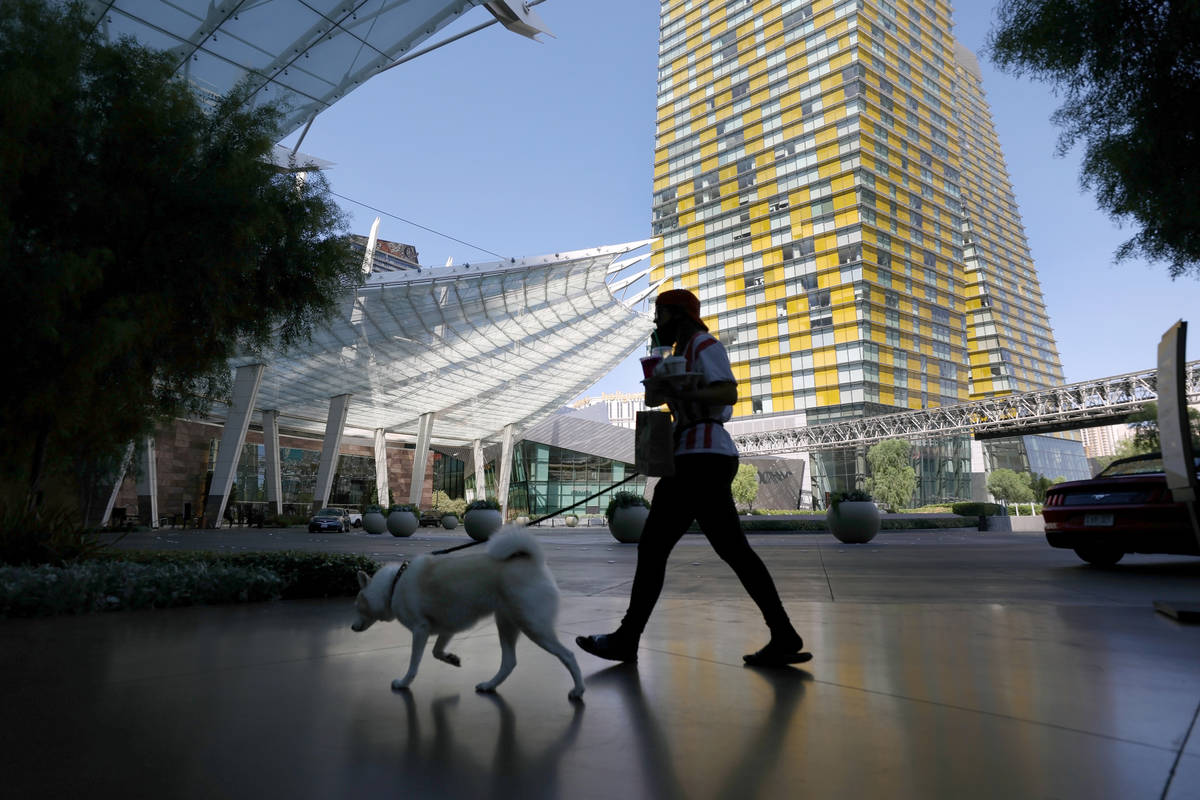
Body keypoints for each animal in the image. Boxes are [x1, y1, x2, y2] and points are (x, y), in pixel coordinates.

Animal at [350, 525, 585, 700]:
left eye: (357, 606)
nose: (351, 627)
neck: (394, 584)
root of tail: (532, 561)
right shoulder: (446, 629)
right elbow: (436, 652)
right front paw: (452, 658)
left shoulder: (420, 630)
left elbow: (414, 663)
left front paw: (404, 682)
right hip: (506, 625)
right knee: (509, 662)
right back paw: (490, 685)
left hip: (533, 626)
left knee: (568, 655)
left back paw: (578, 690)